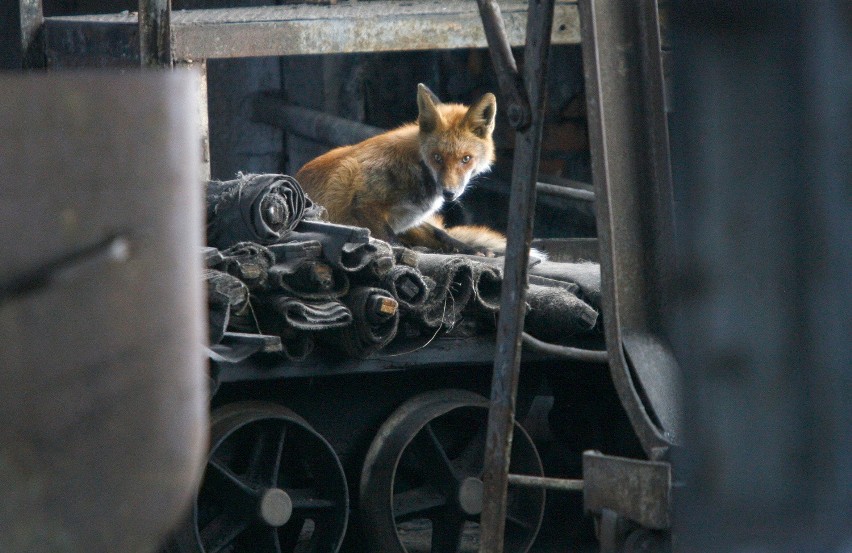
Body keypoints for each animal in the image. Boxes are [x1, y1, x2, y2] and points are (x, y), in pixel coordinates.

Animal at [296, 83, 544, 260]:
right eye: (437, 157)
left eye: (466, 159)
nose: (449, 193)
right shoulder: (364, 203)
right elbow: (392, 240)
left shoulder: (410, 221)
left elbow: (441, 234)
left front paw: (472, 250)